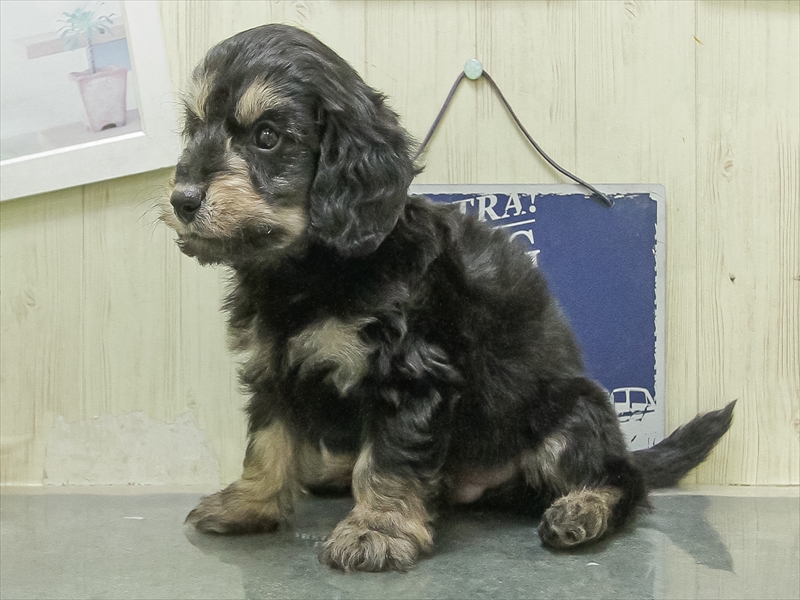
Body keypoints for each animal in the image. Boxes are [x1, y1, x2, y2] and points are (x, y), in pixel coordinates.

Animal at [159, 24, 735, 573]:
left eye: (267, 136)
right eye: (193, 128)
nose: (182, 199)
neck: (315, 268)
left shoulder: (410, 373)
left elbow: (388, 459)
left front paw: (376, 530)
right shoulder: (274, 367)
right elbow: (267, 440)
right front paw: (249, 504)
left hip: (571, 414)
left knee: (623, 479)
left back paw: (582, 510)